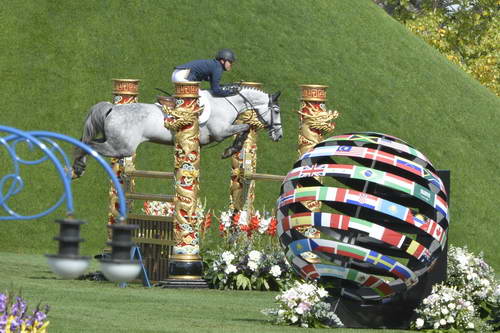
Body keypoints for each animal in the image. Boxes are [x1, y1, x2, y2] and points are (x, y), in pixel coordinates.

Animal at [71, 87, 282, 178]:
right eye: (277, 111)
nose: (279, 136)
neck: (227, 103)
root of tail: (112, 108)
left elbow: (244, 129)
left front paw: (231, 150)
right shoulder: (221, 132)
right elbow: (244, 128)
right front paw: (230, 150)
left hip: (113, 141)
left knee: (87, 141)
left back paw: (78, 166)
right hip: (121, 148)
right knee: (89, 144)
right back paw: (78, 166)